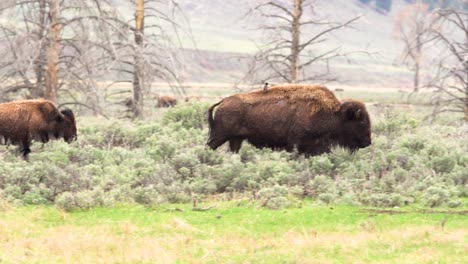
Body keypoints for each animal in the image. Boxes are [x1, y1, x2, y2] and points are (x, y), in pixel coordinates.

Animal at [207, 84, 372, 156]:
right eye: (362, 121)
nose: (368, 142)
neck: (333, 114)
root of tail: (223, 102)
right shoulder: (296, 144)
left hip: (236, 139)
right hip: (220, 136)